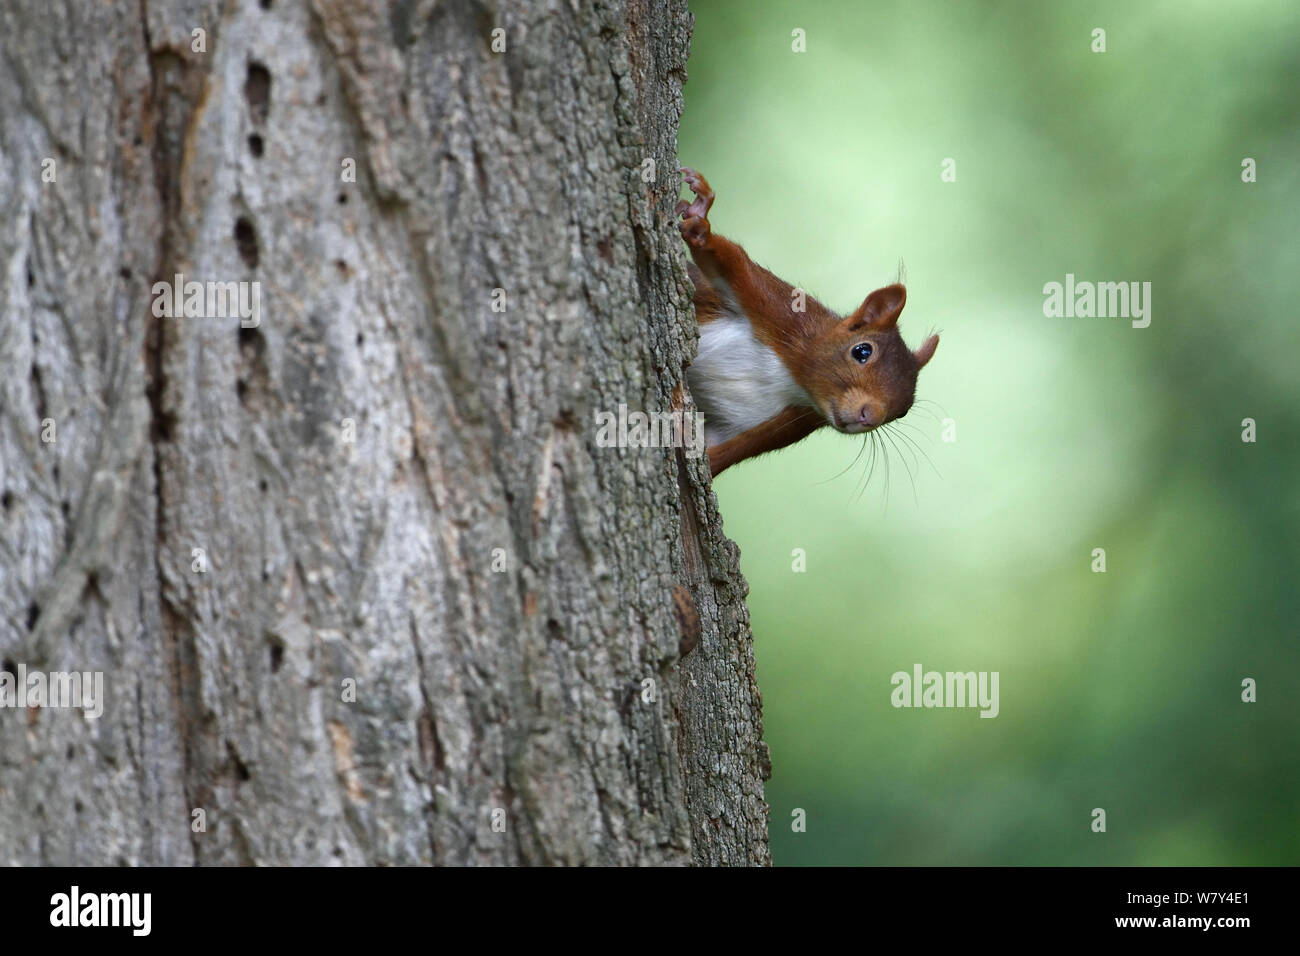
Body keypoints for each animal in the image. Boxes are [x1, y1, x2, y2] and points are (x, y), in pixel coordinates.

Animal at [676, 170, 941, 478]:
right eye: (862, 351)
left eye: (903, 412)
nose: (870, 417)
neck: (794, 381)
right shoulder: (784, 313)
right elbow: (733, 263)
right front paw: (700, 219)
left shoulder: (787, 423)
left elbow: (717, 452)